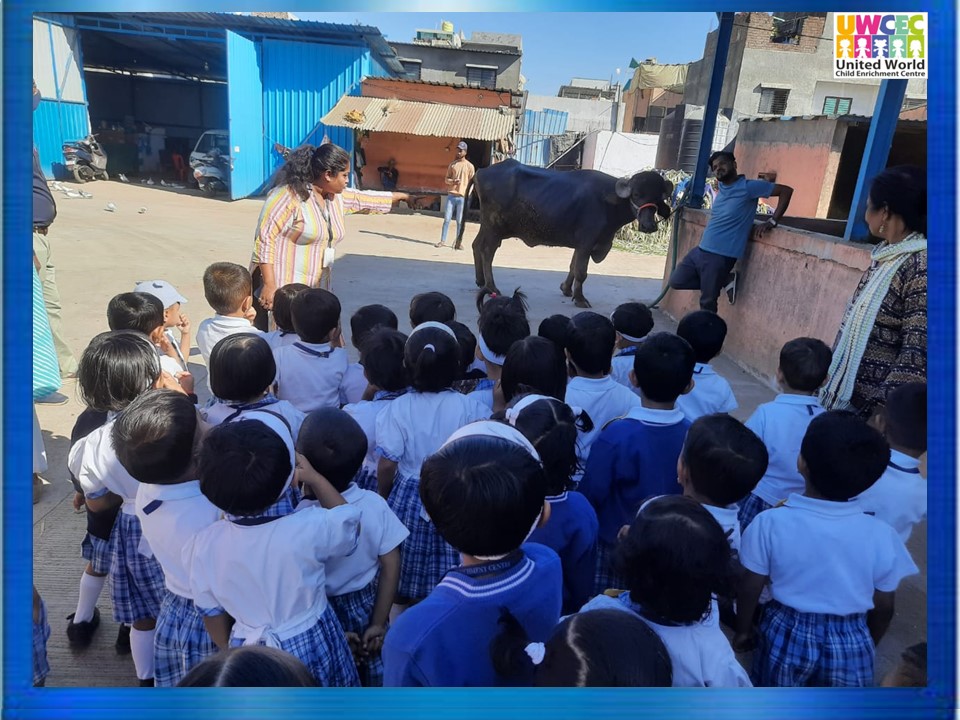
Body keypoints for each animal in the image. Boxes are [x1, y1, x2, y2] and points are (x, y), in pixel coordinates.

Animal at [454, 160, 673, 308]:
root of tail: (481, 171)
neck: (608, 201)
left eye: (658, 197)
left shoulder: (582, 244)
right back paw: (492, 287)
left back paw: (480, 281)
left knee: (476, 245)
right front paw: (580, 298)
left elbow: (572, 266)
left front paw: (567, 289)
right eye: (636, 194)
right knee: (487, 252)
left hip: (487, 226)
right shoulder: (587, 242)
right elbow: (581, 271)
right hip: (494, 228)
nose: (648, 225)